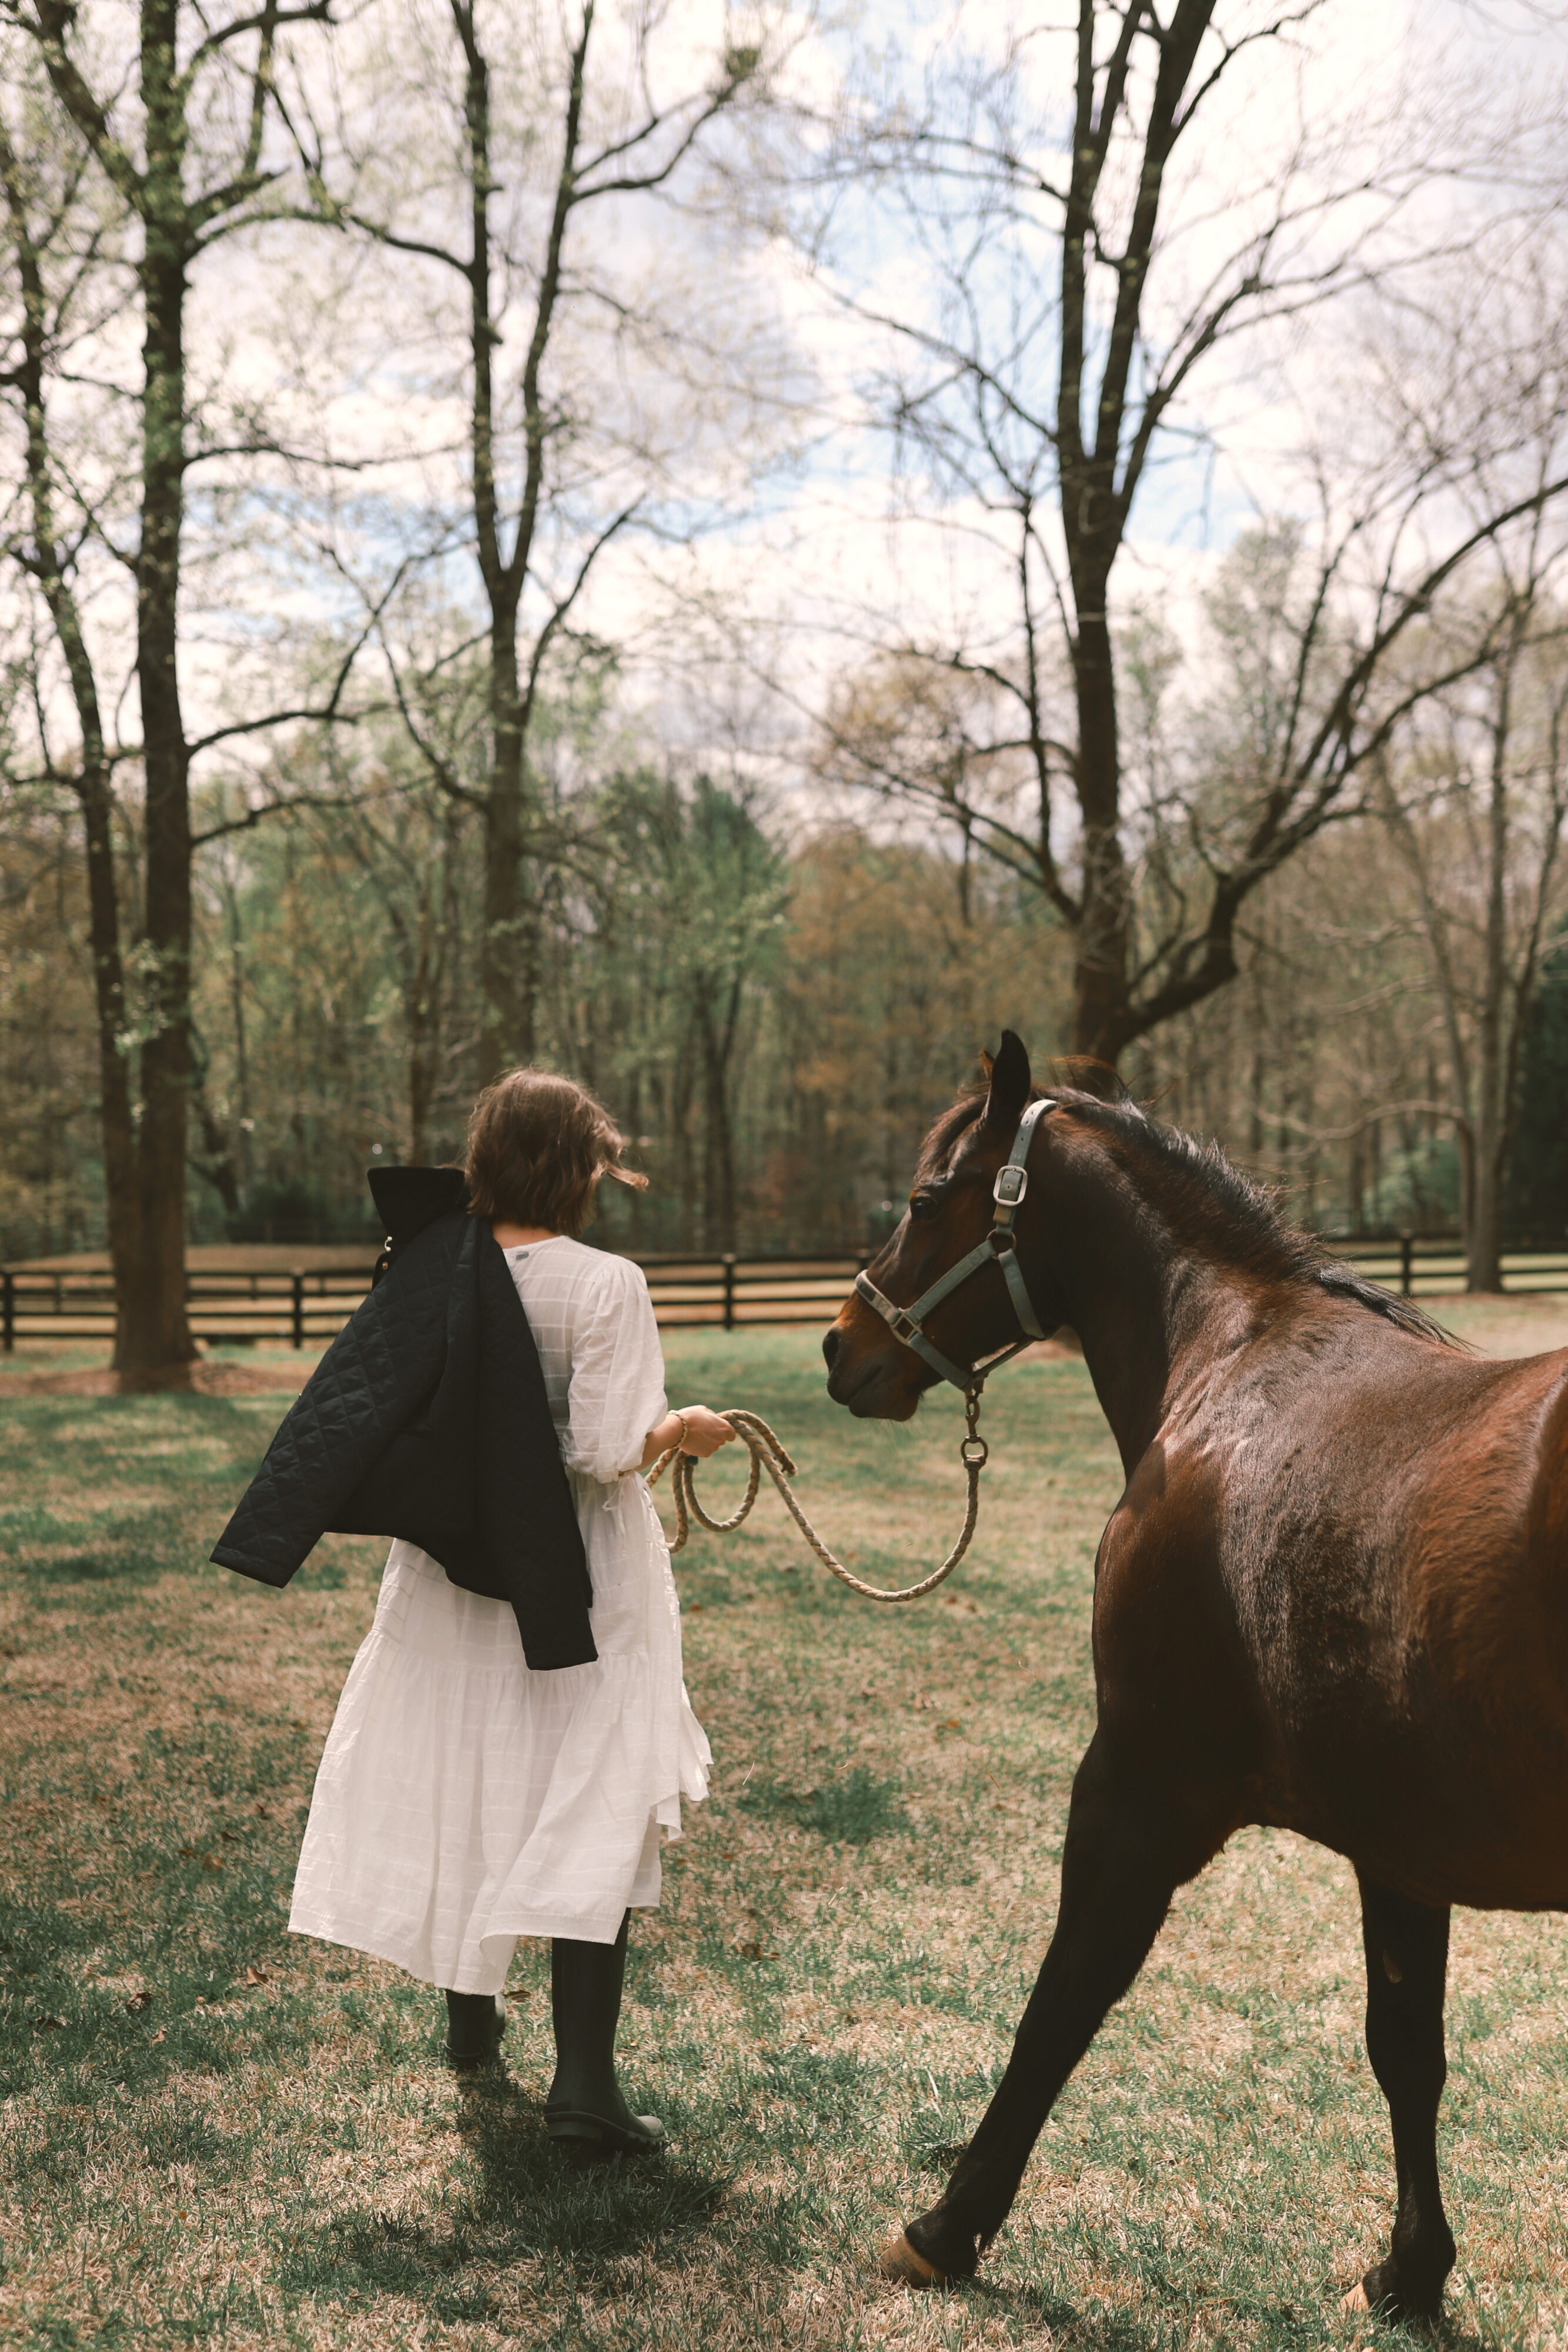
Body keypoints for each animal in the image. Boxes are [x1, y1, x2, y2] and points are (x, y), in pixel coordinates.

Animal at [823, 1030, 1568, 2314]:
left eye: (921, 1200)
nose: (840, 1342)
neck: (1231, 1359)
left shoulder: (1138, 1781)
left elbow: (1061, 2000)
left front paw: (946, 2227)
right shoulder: (1397, 1838)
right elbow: (1405, 2047)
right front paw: (1410, 2270)